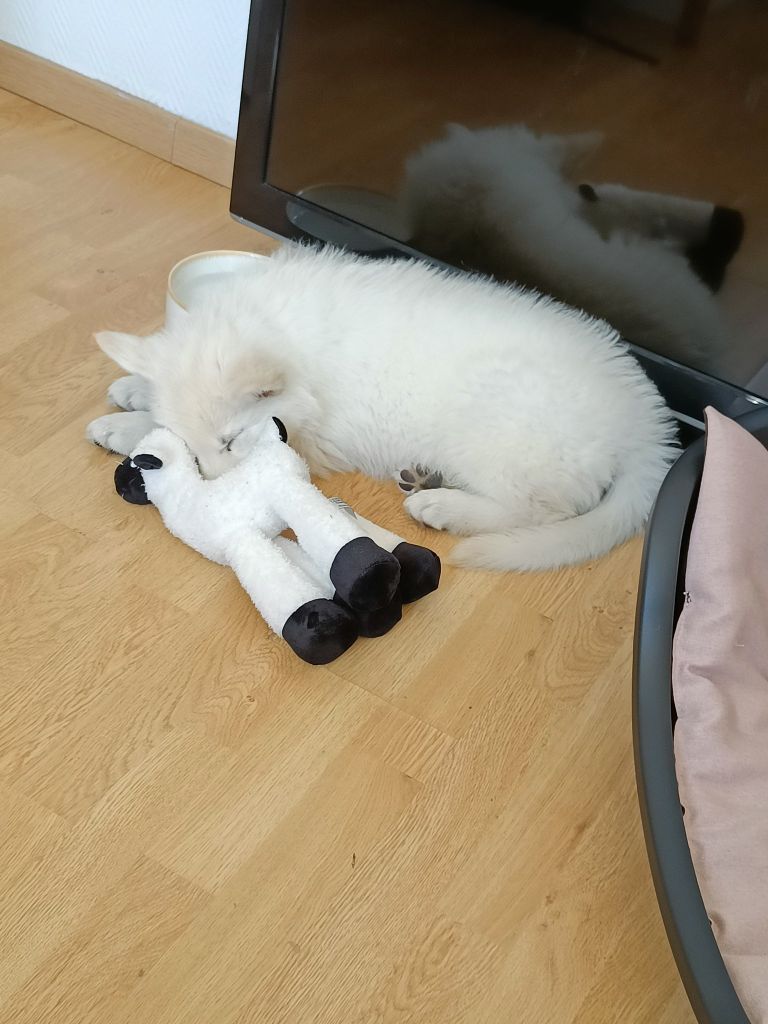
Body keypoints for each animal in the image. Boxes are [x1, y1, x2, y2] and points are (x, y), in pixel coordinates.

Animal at [87, 244, 677, 571]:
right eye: (191, 447)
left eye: (232, 442)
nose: (214, 501)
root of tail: (646, 423)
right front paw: (135, 392)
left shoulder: (310, 437)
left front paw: (122, 426)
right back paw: (425, 479)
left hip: (496, 421)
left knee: (541, 508)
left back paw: (442, 507)